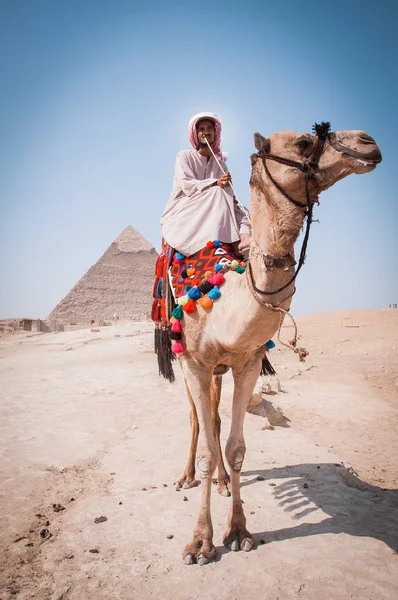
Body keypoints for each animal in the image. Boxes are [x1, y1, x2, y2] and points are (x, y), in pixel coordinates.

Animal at [163, 122, 380, 564]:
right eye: (305, 141)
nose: (369, 143)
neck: (227, 299)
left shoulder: (247, 362)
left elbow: (235, 449)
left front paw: (238, 531)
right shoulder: (194, 363)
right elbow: (209, 446)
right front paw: (200, 543)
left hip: (220, 369)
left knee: (214, 418)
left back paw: (223, 483)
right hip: (181, 358)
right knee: (196, 419)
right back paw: (186, 476)